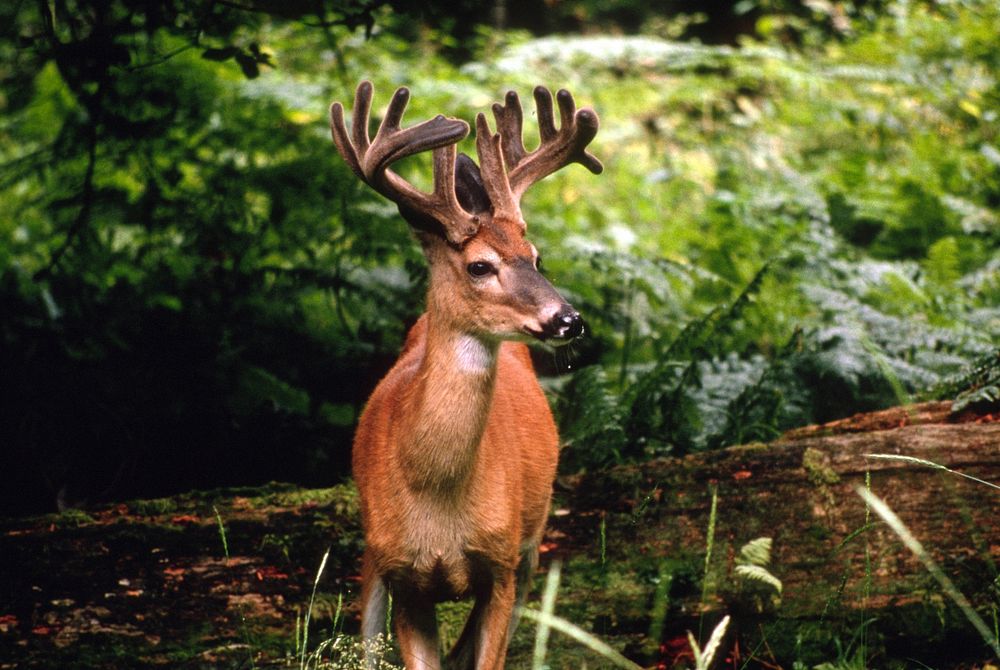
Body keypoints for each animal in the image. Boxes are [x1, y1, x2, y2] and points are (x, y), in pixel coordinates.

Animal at [330, 80, 600, 670]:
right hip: (372, 558)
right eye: (479, 265)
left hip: (532, 538)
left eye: (536, 257)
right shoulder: (403, 576)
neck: (437, 497)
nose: (568, 320)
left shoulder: (501, 563)